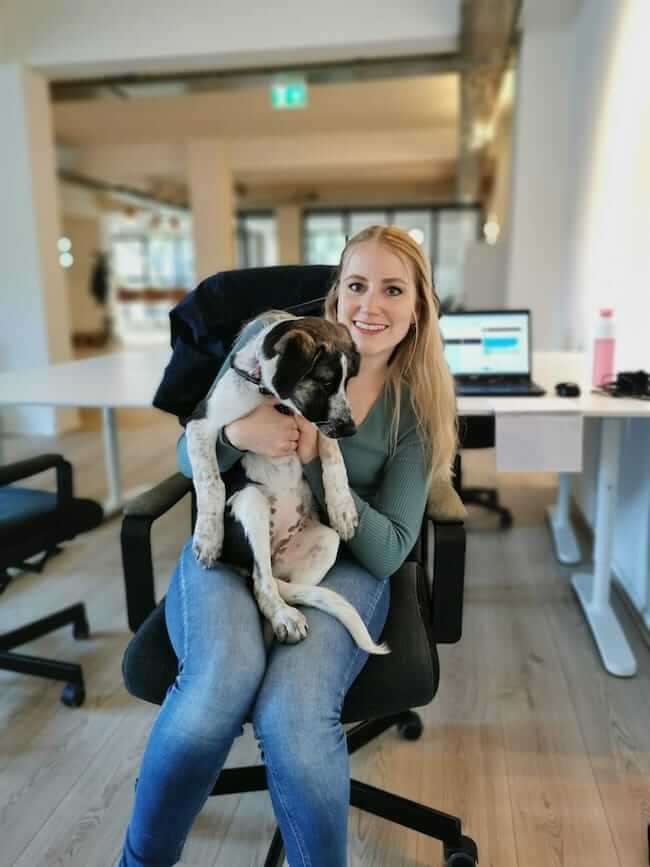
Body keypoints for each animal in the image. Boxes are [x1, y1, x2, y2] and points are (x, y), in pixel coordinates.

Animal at [186, 314, 390, 656]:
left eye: (347, 382)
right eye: (325, 382)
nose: (351, 429)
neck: (271, 397)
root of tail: (272, 555)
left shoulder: (321, 425)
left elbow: (333, 455)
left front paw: (342, 507)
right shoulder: (199, 423)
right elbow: (210, 482)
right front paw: (208, 536)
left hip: (326, 542)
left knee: (282, 585)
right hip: (252, 502)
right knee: (262, 582)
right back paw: (284, 617)